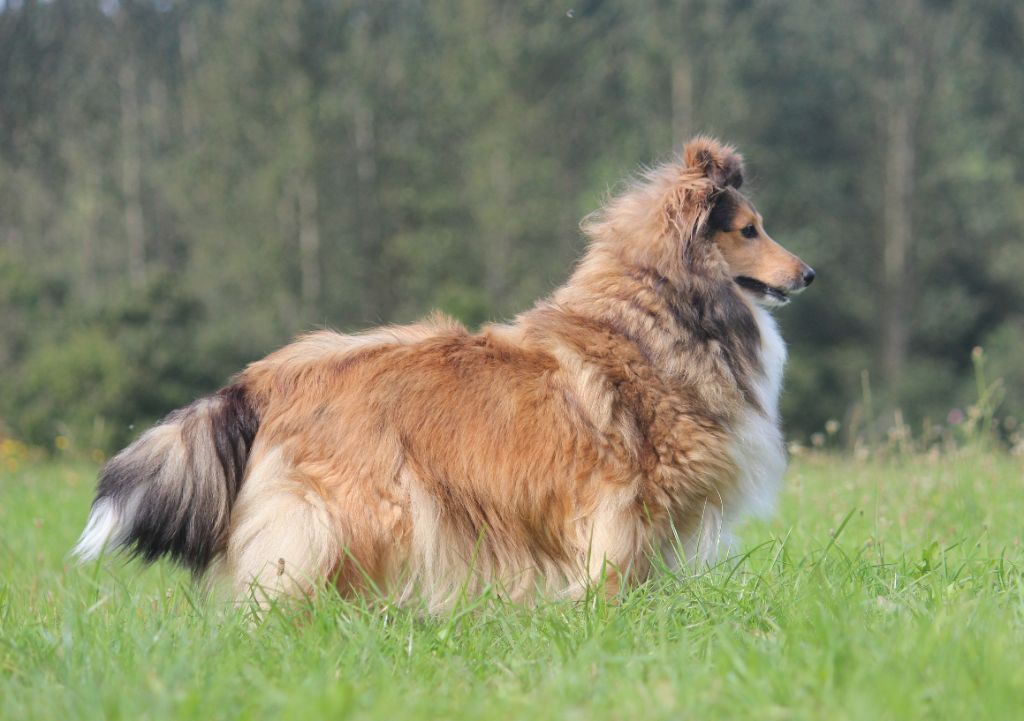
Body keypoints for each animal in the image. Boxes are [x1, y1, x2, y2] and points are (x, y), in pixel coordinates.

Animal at [74, 136, 815, 606]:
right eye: (748, 230)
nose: (809, 274)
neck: (656, 311)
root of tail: (263, 375)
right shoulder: (621, 506)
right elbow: (615, 580)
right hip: (362, 513)